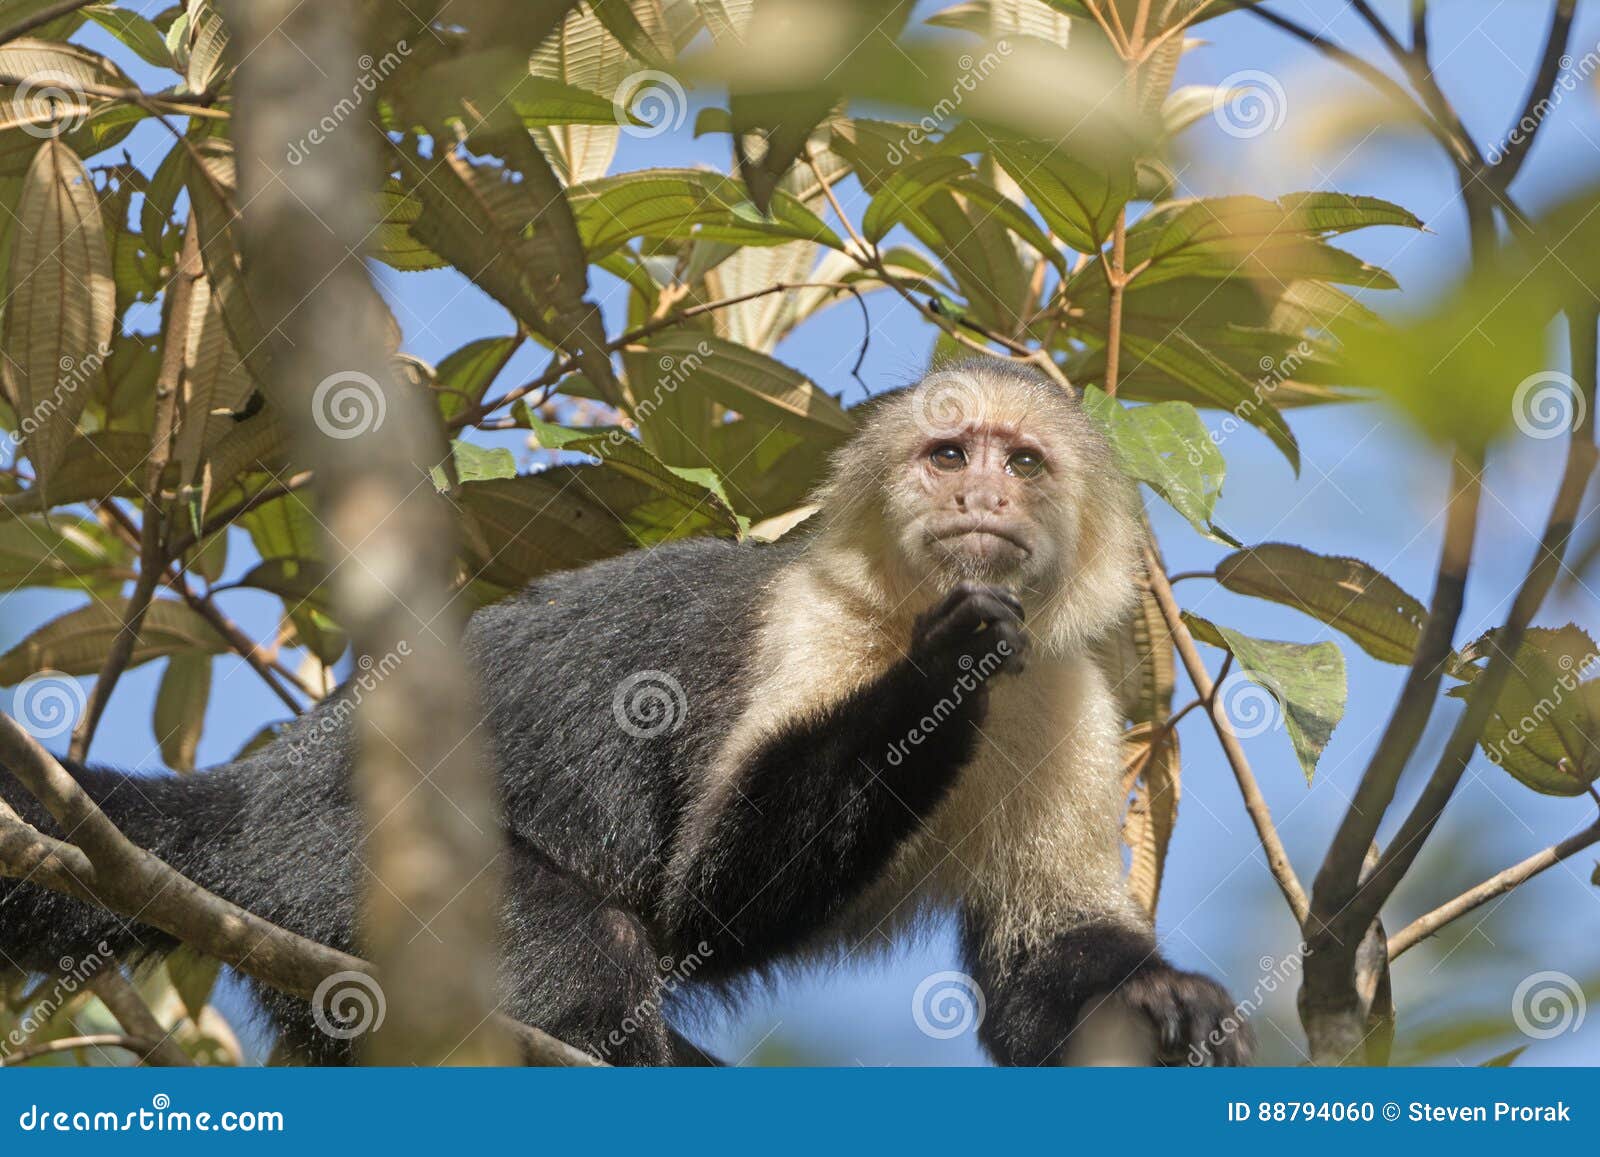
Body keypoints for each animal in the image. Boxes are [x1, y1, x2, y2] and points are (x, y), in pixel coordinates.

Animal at [0, 360, 1248, 1068]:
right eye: (947, 453)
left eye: (1020, 461)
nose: (982, 494)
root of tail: (251, 787)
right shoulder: (813, 629)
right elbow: (710, 894)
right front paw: (942, 665)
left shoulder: (1067, 691)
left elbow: (1041, 975)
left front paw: (1159, 996)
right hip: (319, 856)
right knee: (590, 948)